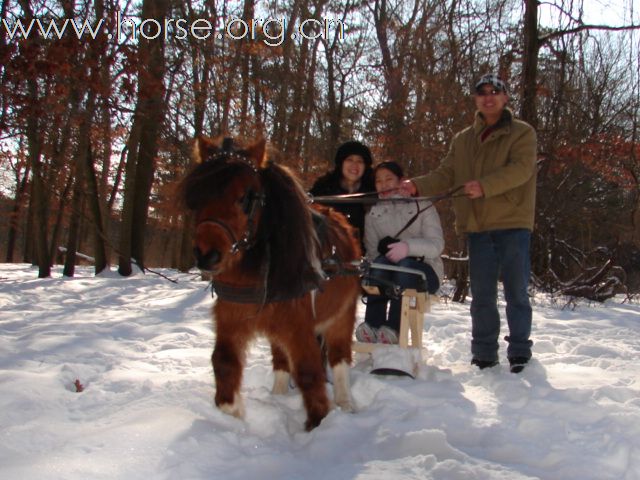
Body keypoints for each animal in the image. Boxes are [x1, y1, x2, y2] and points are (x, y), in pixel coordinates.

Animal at [182, 136, 362, 432]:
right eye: (197, 197)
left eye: (246, 197)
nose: (207, 255)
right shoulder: (232, 315)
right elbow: (223, 361)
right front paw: (231, 412)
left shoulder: (299, 325)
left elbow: (309, 371)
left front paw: (319, 424)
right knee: (280, 360)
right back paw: (277, 395)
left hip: (341, 316)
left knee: (339, 357)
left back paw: (345, 402)